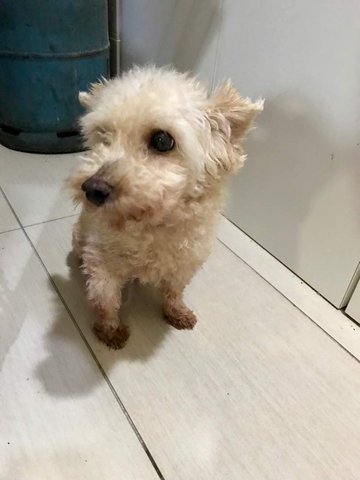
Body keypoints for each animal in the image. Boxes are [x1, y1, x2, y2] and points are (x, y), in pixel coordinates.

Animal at [68, 65, 264, 346]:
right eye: (103, 136)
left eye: (162, 140)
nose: (92, 189)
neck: (153, 227)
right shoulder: (103, 266)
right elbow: (107, 301)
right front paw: (110, 330)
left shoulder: (185, 264)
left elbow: (174, 291)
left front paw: (177, 312)